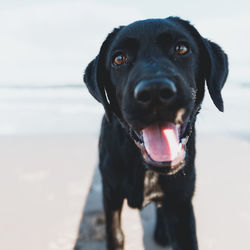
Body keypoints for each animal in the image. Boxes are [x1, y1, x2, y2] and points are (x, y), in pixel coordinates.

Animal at [84, 16, 229, 249]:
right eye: (118, 59)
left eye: (181, 48)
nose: (154, 91)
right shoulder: (111, 192)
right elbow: (115, 234)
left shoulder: (181, 202)